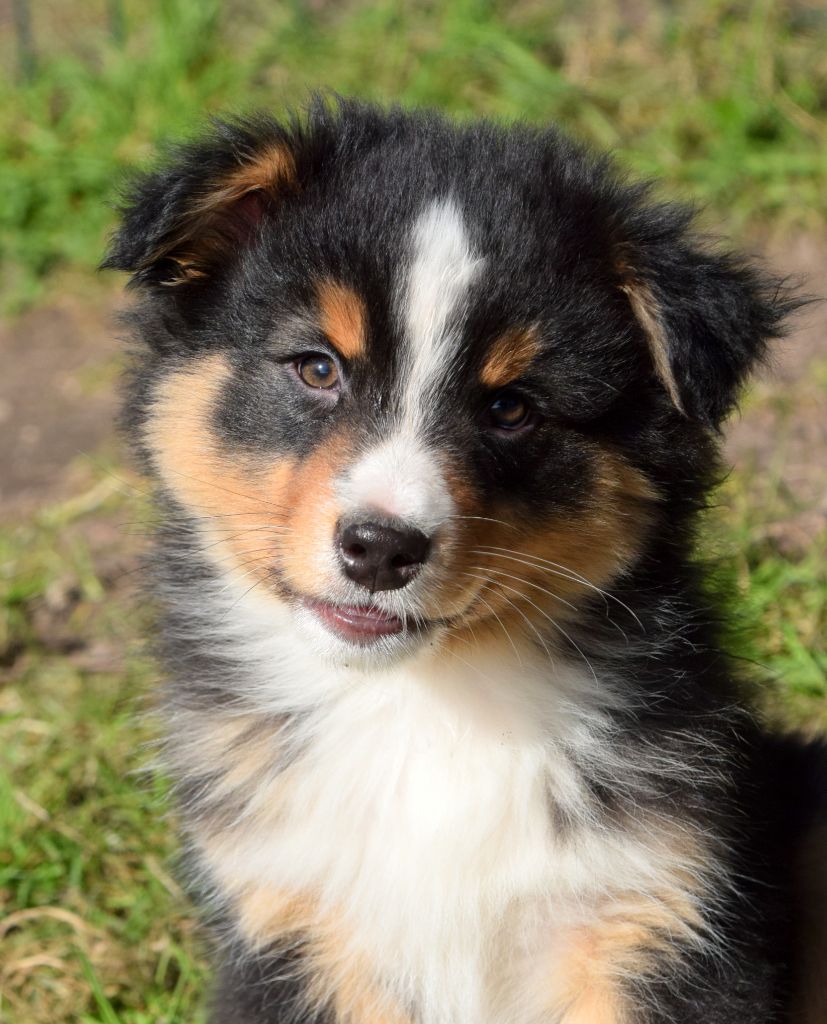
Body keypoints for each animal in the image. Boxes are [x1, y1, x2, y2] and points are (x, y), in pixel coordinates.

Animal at [106, 97, 822, 1024]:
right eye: (316, 367)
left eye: (510, 408)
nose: (380, 547)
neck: (422, 707)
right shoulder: (291, 928)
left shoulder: (656, 913)